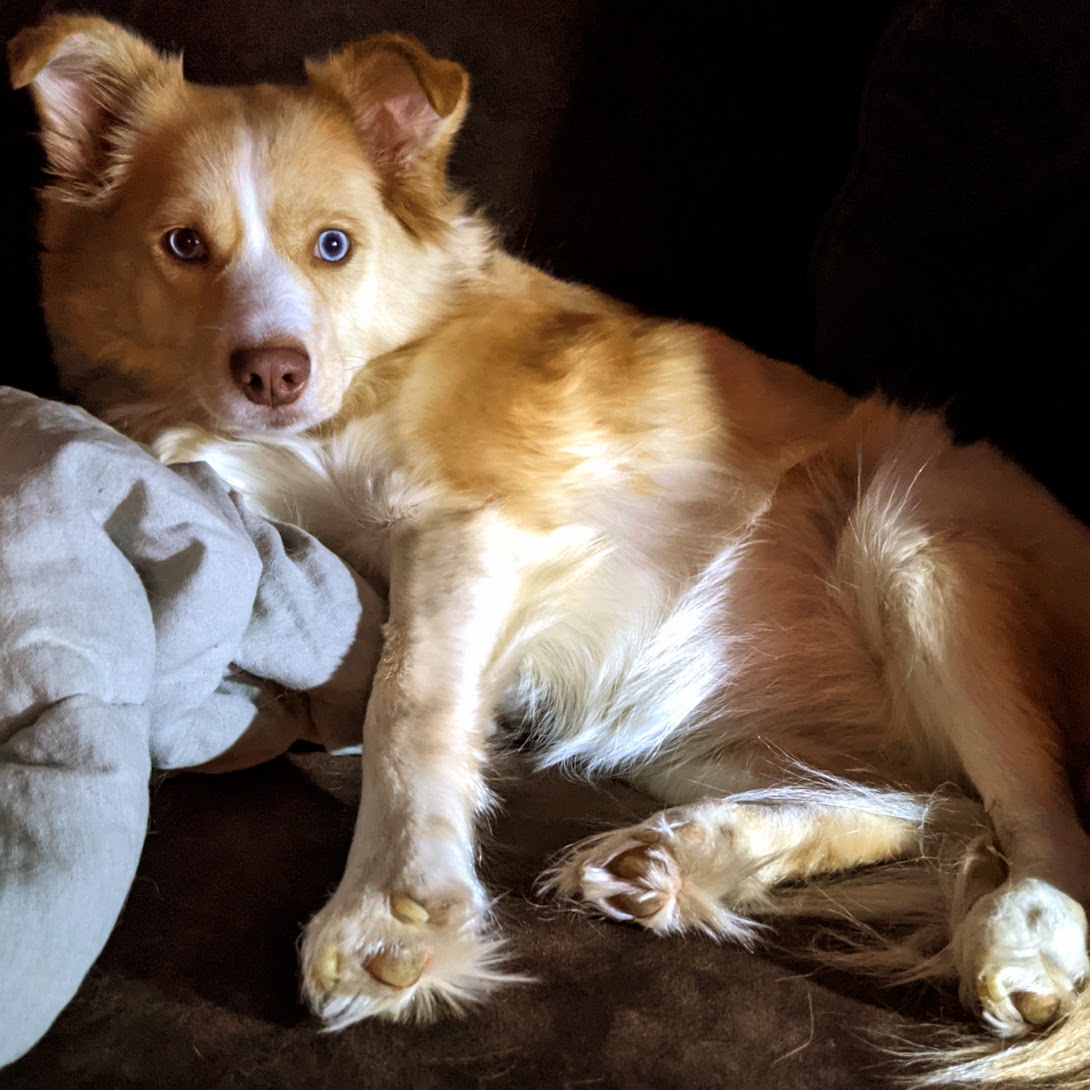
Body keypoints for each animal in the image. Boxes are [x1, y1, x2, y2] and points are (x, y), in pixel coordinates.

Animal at [12, 12, 1090, 1085]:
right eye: (183, 245)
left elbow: (410, 699)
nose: (272, 373)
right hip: (701, 734)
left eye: (333, 245)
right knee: (929, 803)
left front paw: (389, 909)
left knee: (1036, 815)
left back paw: (1027, 933)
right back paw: (688, 854)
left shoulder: (473, 525)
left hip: (915, 535)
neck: (367, 373)